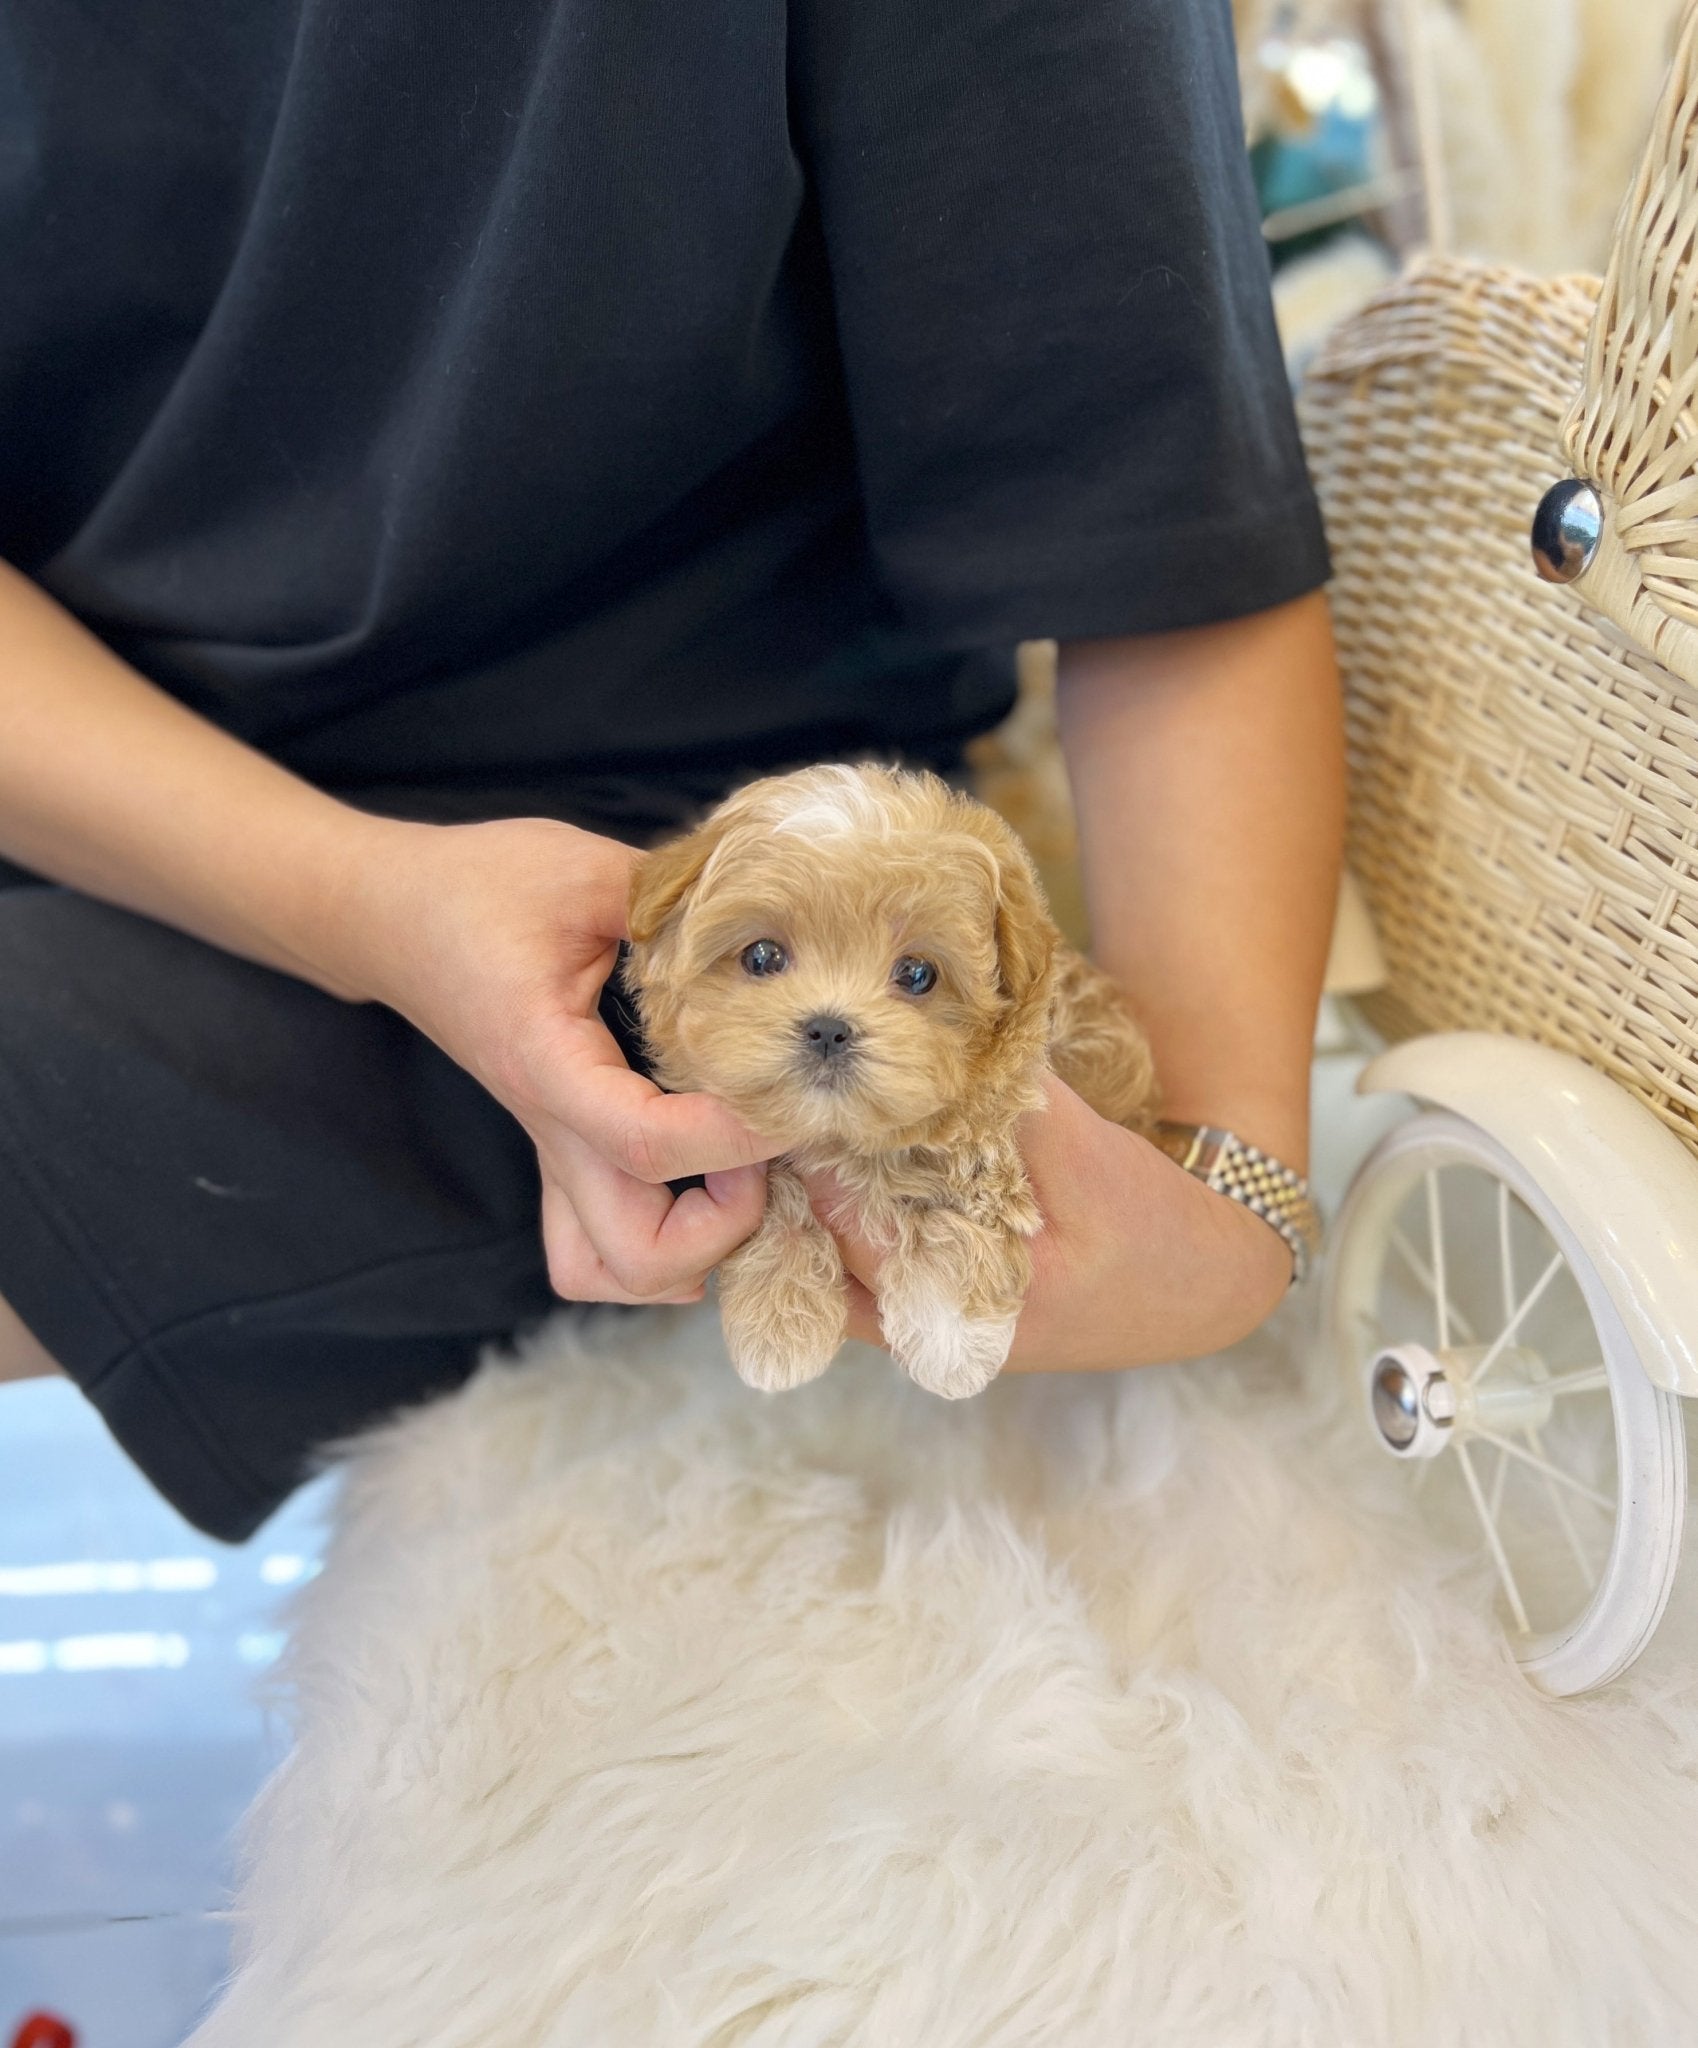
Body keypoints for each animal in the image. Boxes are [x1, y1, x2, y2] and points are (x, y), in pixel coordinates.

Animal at [622, 761, 1155, 1400]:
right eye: (762, 957)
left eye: (918, 974)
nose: (829, 1028)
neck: (846, 1142)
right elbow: (779, 1199)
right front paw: (778, 1324)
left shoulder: (998, 1115)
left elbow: (966, 1195)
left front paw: (952, 1340)